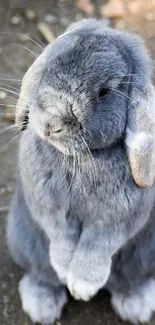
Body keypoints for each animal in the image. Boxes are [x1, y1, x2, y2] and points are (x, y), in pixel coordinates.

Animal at [6, 20, 155, 324]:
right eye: (47, 67)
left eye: (104, 92)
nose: (50, 123)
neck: (80, 158)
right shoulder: (49, 208)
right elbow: (61, 237)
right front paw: (66, 272)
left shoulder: (116, 220)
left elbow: (96, 246)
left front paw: (83, 287)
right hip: (23, 241)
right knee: (41, 274)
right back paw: (41, 307)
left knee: (129, 281)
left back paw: (136, 306)